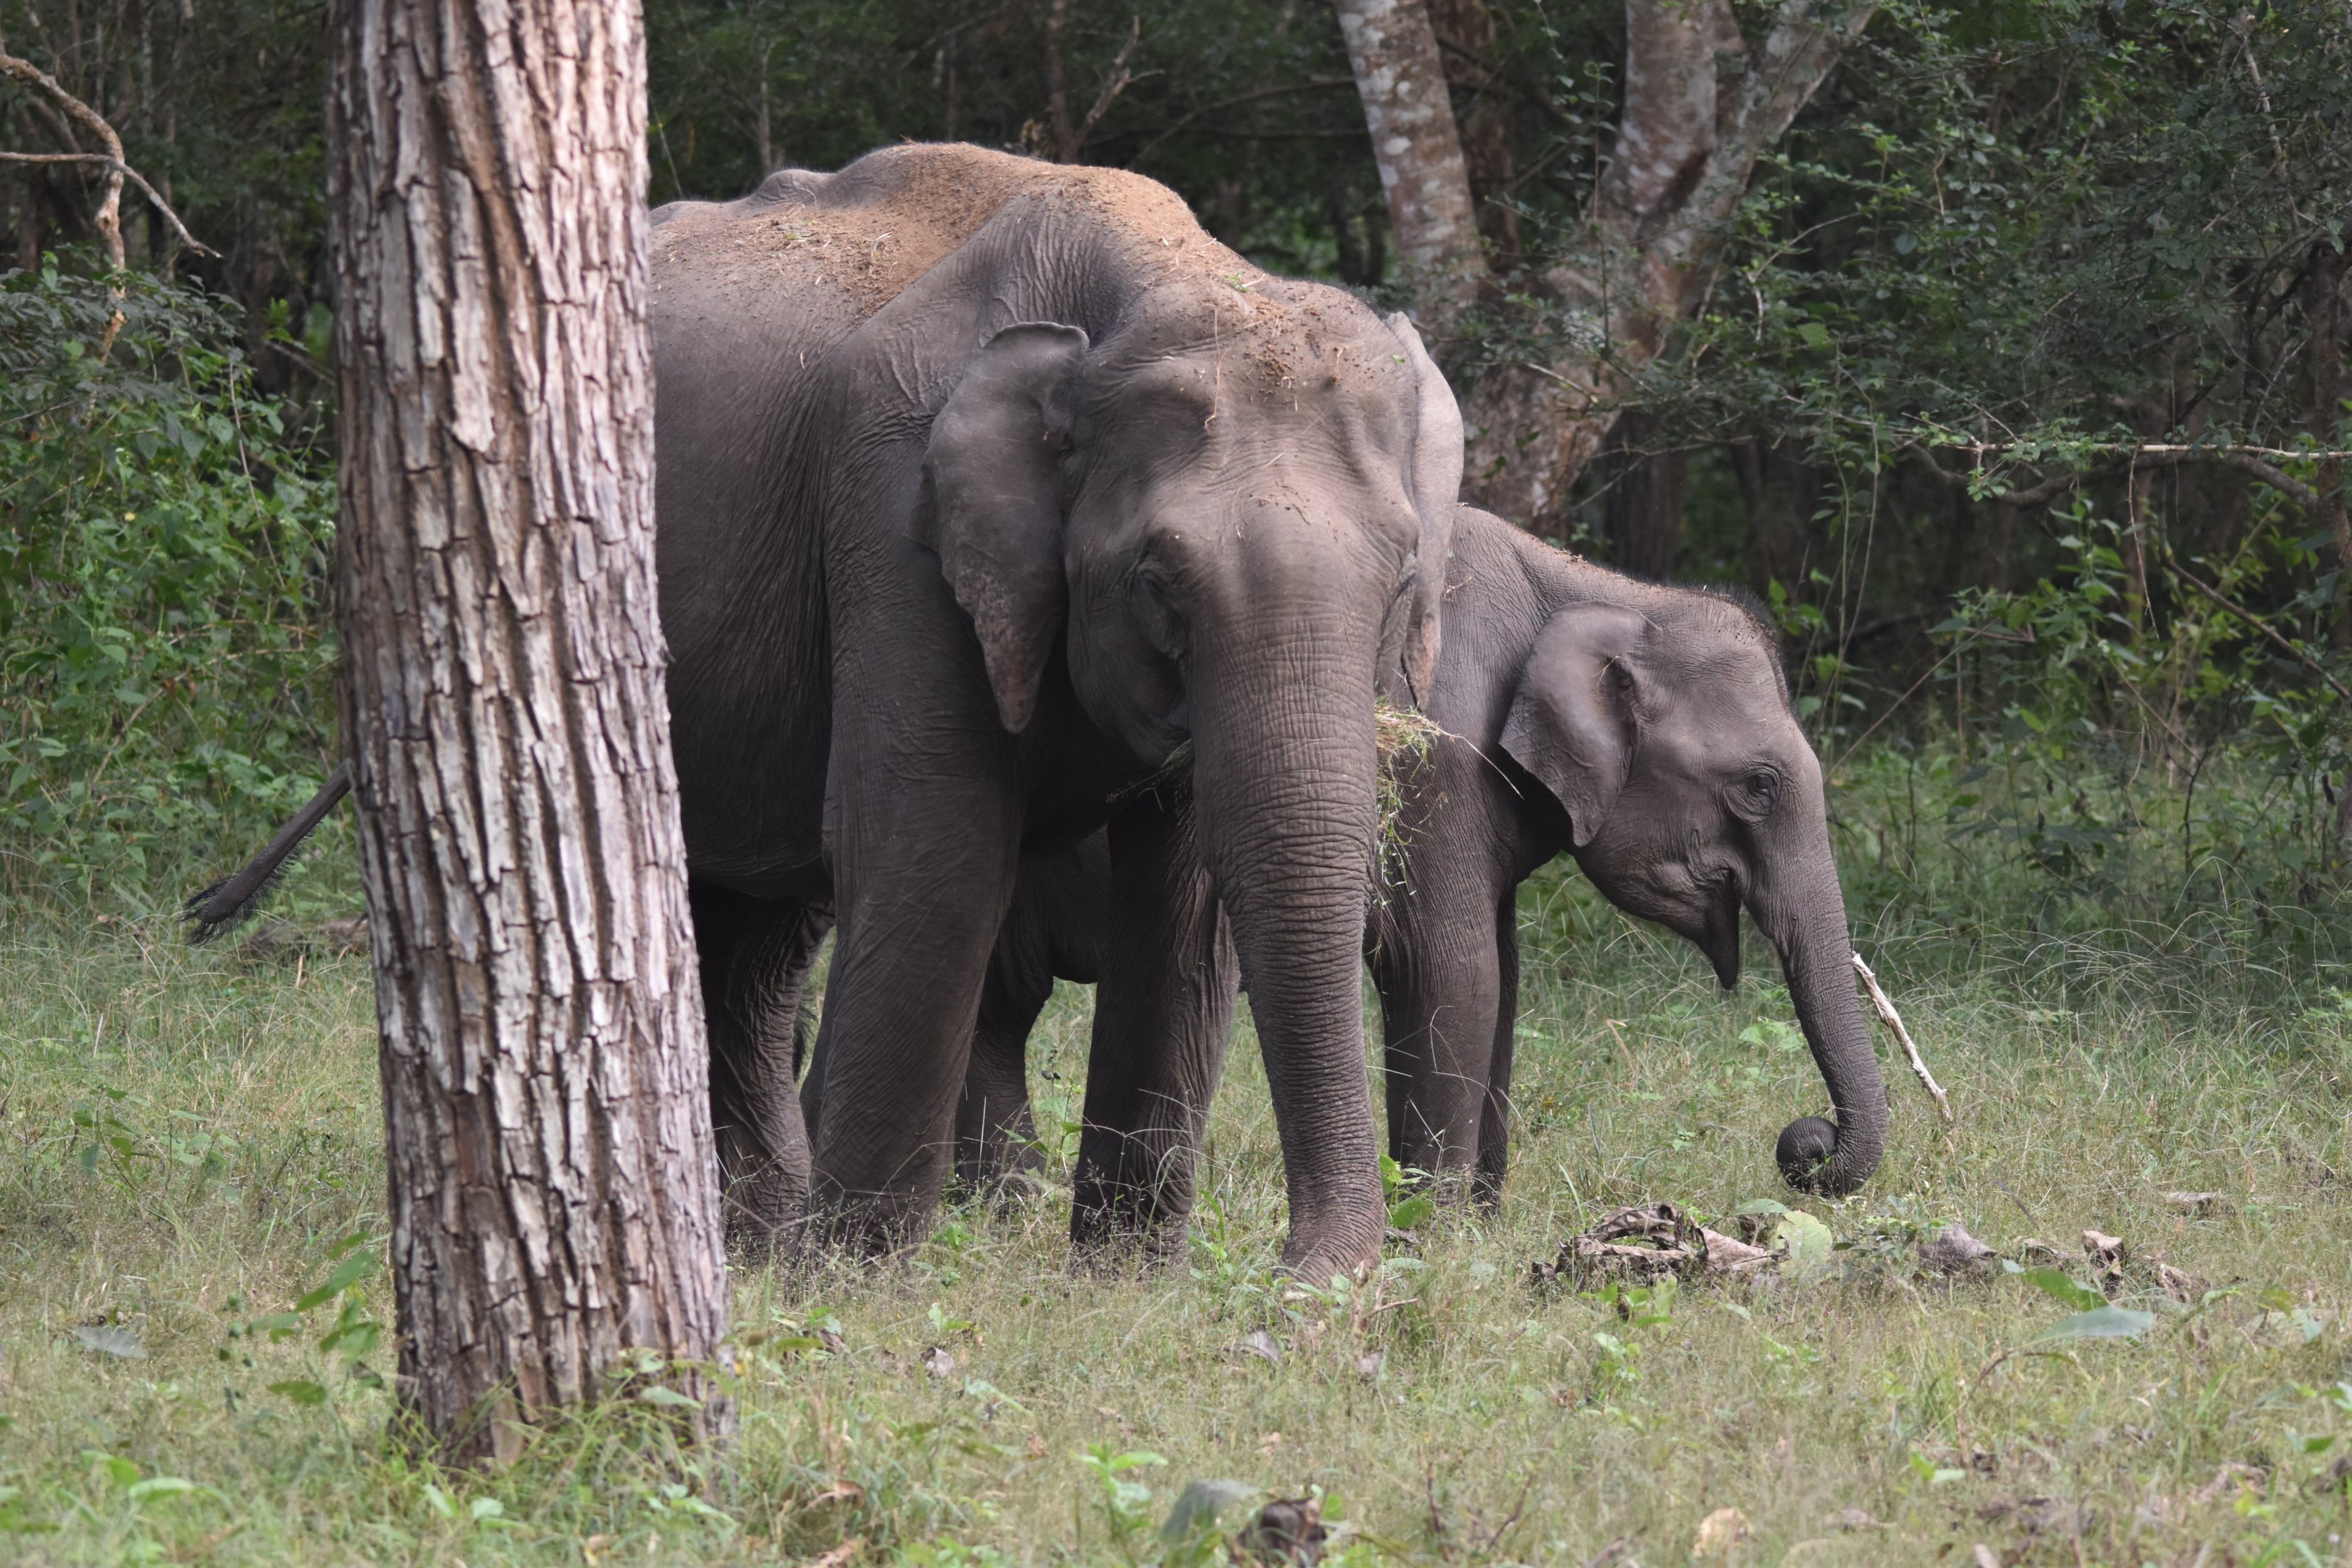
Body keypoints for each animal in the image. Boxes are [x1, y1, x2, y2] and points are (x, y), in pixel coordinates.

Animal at [191, 144, 1463, 1282]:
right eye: (1159, 582)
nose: (1315, 1278)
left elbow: (1183, 903)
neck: (1162, 274)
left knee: (754, 937)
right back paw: (770, 1246)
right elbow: (934, 855)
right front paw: (859, 1284)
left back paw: (756, 1241)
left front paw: (1125, 1284)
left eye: (1406, 577)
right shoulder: (895, 519)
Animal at [954, 503, 1889, 1208]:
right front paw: (1434, 1236)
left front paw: (1480, 1227)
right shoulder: (1434, 766)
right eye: (1759, 786)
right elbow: (1455, 973)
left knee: (992, 1013)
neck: (1597, 589)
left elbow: (1504, 982)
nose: (1804, 1143)